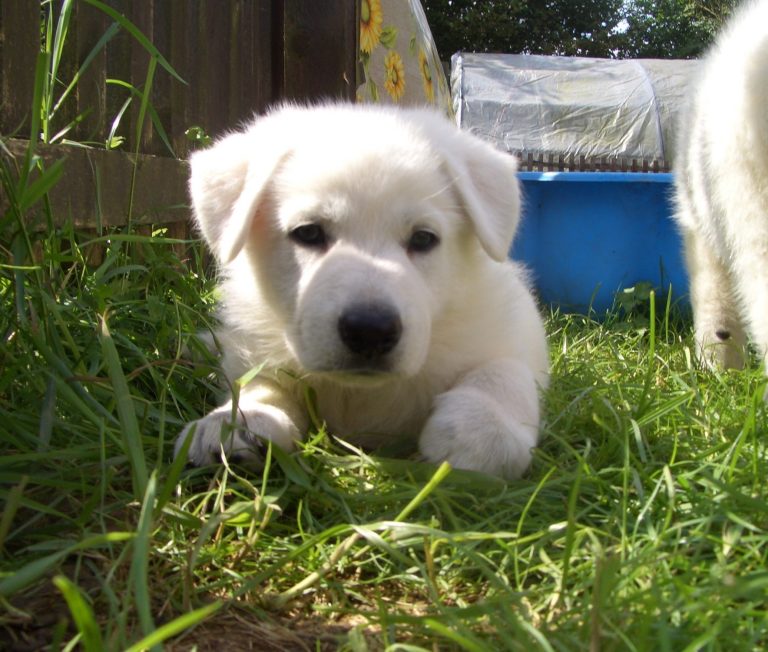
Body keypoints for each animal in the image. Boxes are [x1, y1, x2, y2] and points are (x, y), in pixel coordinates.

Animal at [174, 103, 548, 478]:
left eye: (423, 239)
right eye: (308, 232)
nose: (370, 331)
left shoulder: (508, 330)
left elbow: (503, 372)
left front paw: (480, 431)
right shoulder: (258, 354)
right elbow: (261, 384)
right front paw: (237, 423)